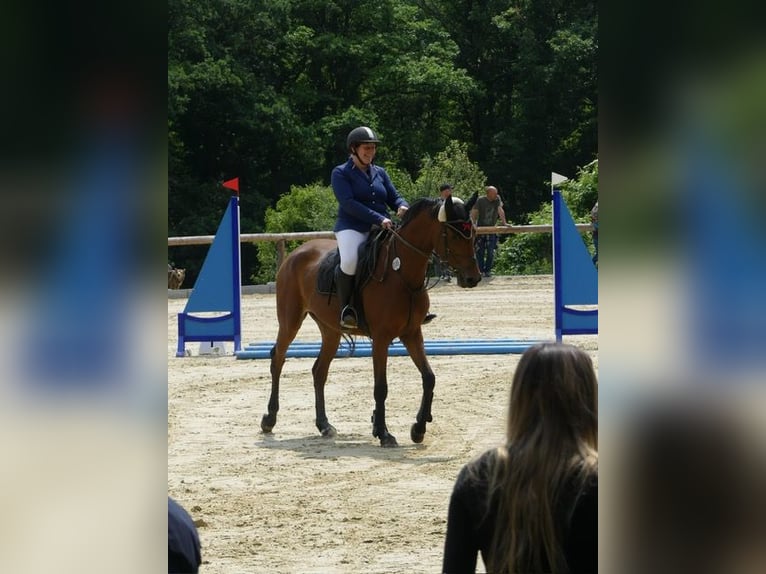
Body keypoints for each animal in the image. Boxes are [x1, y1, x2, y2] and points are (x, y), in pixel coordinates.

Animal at [260, 195, 482, 447]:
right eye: (454, 235)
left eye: (474, 232)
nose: (473, 278)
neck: (402, 274)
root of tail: (296, 253)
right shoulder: (381, 338)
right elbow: (381, 388)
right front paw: (384, 433)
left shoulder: (412, 333)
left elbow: (429, 378)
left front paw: (418, 428)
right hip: (290, 321)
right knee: (278, 358)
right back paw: (269, 419)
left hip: (330, 330)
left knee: (319, 371)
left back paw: (324, 425)